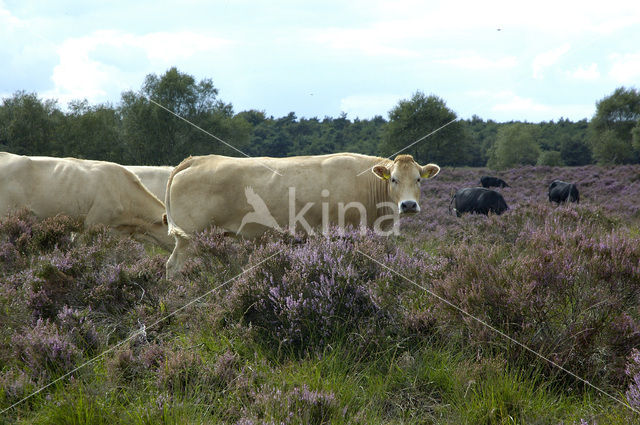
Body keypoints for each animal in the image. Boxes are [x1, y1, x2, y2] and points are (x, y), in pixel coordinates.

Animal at [164, 153, 440, 278]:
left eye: (418, 179)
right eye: (393, 179)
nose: (408, 205)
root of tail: (196, 159)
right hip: (189, 237)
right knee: (174, 266)